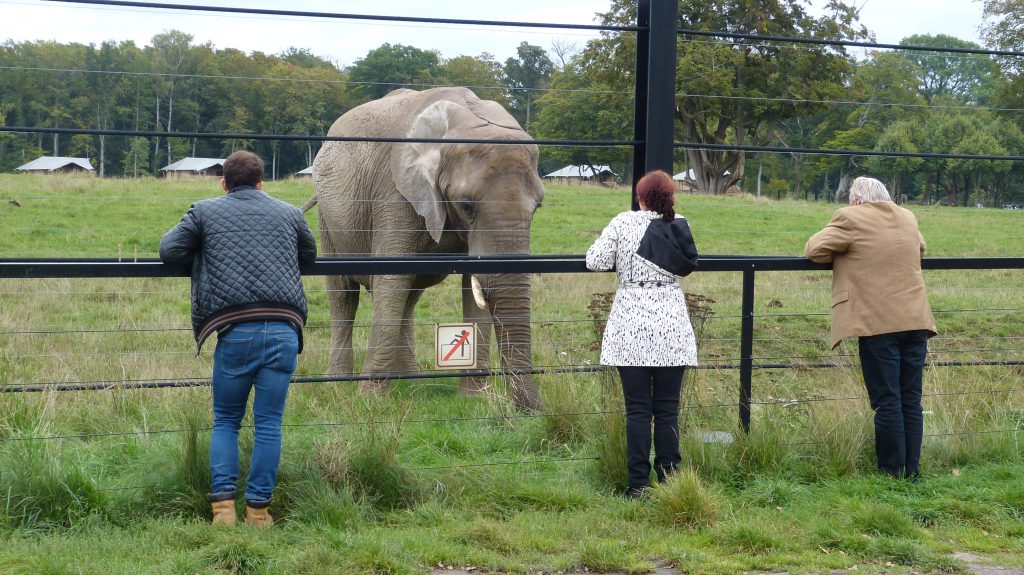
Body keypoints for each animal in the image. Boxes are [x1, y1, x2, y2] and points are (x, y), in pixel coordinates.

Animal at [305, 85, 540, 407]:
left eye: (538, 207)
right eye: (466, 206)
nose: (532, 411)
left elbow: (472, 287)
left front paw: (473, 399)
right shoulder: (395, 192)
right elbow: (390, 280)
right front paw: (371, 402)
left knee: (408, 297)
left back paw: (412, 384)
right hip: (329, 218)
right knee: (344, 295)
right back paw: (337, 385)